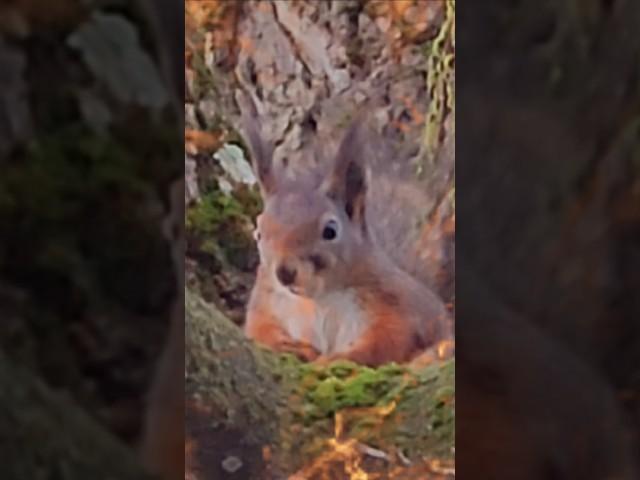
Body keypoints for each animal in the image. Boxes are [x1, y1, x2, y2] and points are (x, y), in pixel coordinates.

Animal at [238, 96, 452, 368]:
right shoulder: (267, 304)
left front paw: (335, 359)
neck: (317, 300)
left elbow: (386, 341)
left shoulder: (397, 307)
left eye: (330, 231)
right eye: (259, 232)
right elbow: (259, 331)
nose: (284, 273)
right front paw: (288, 346)